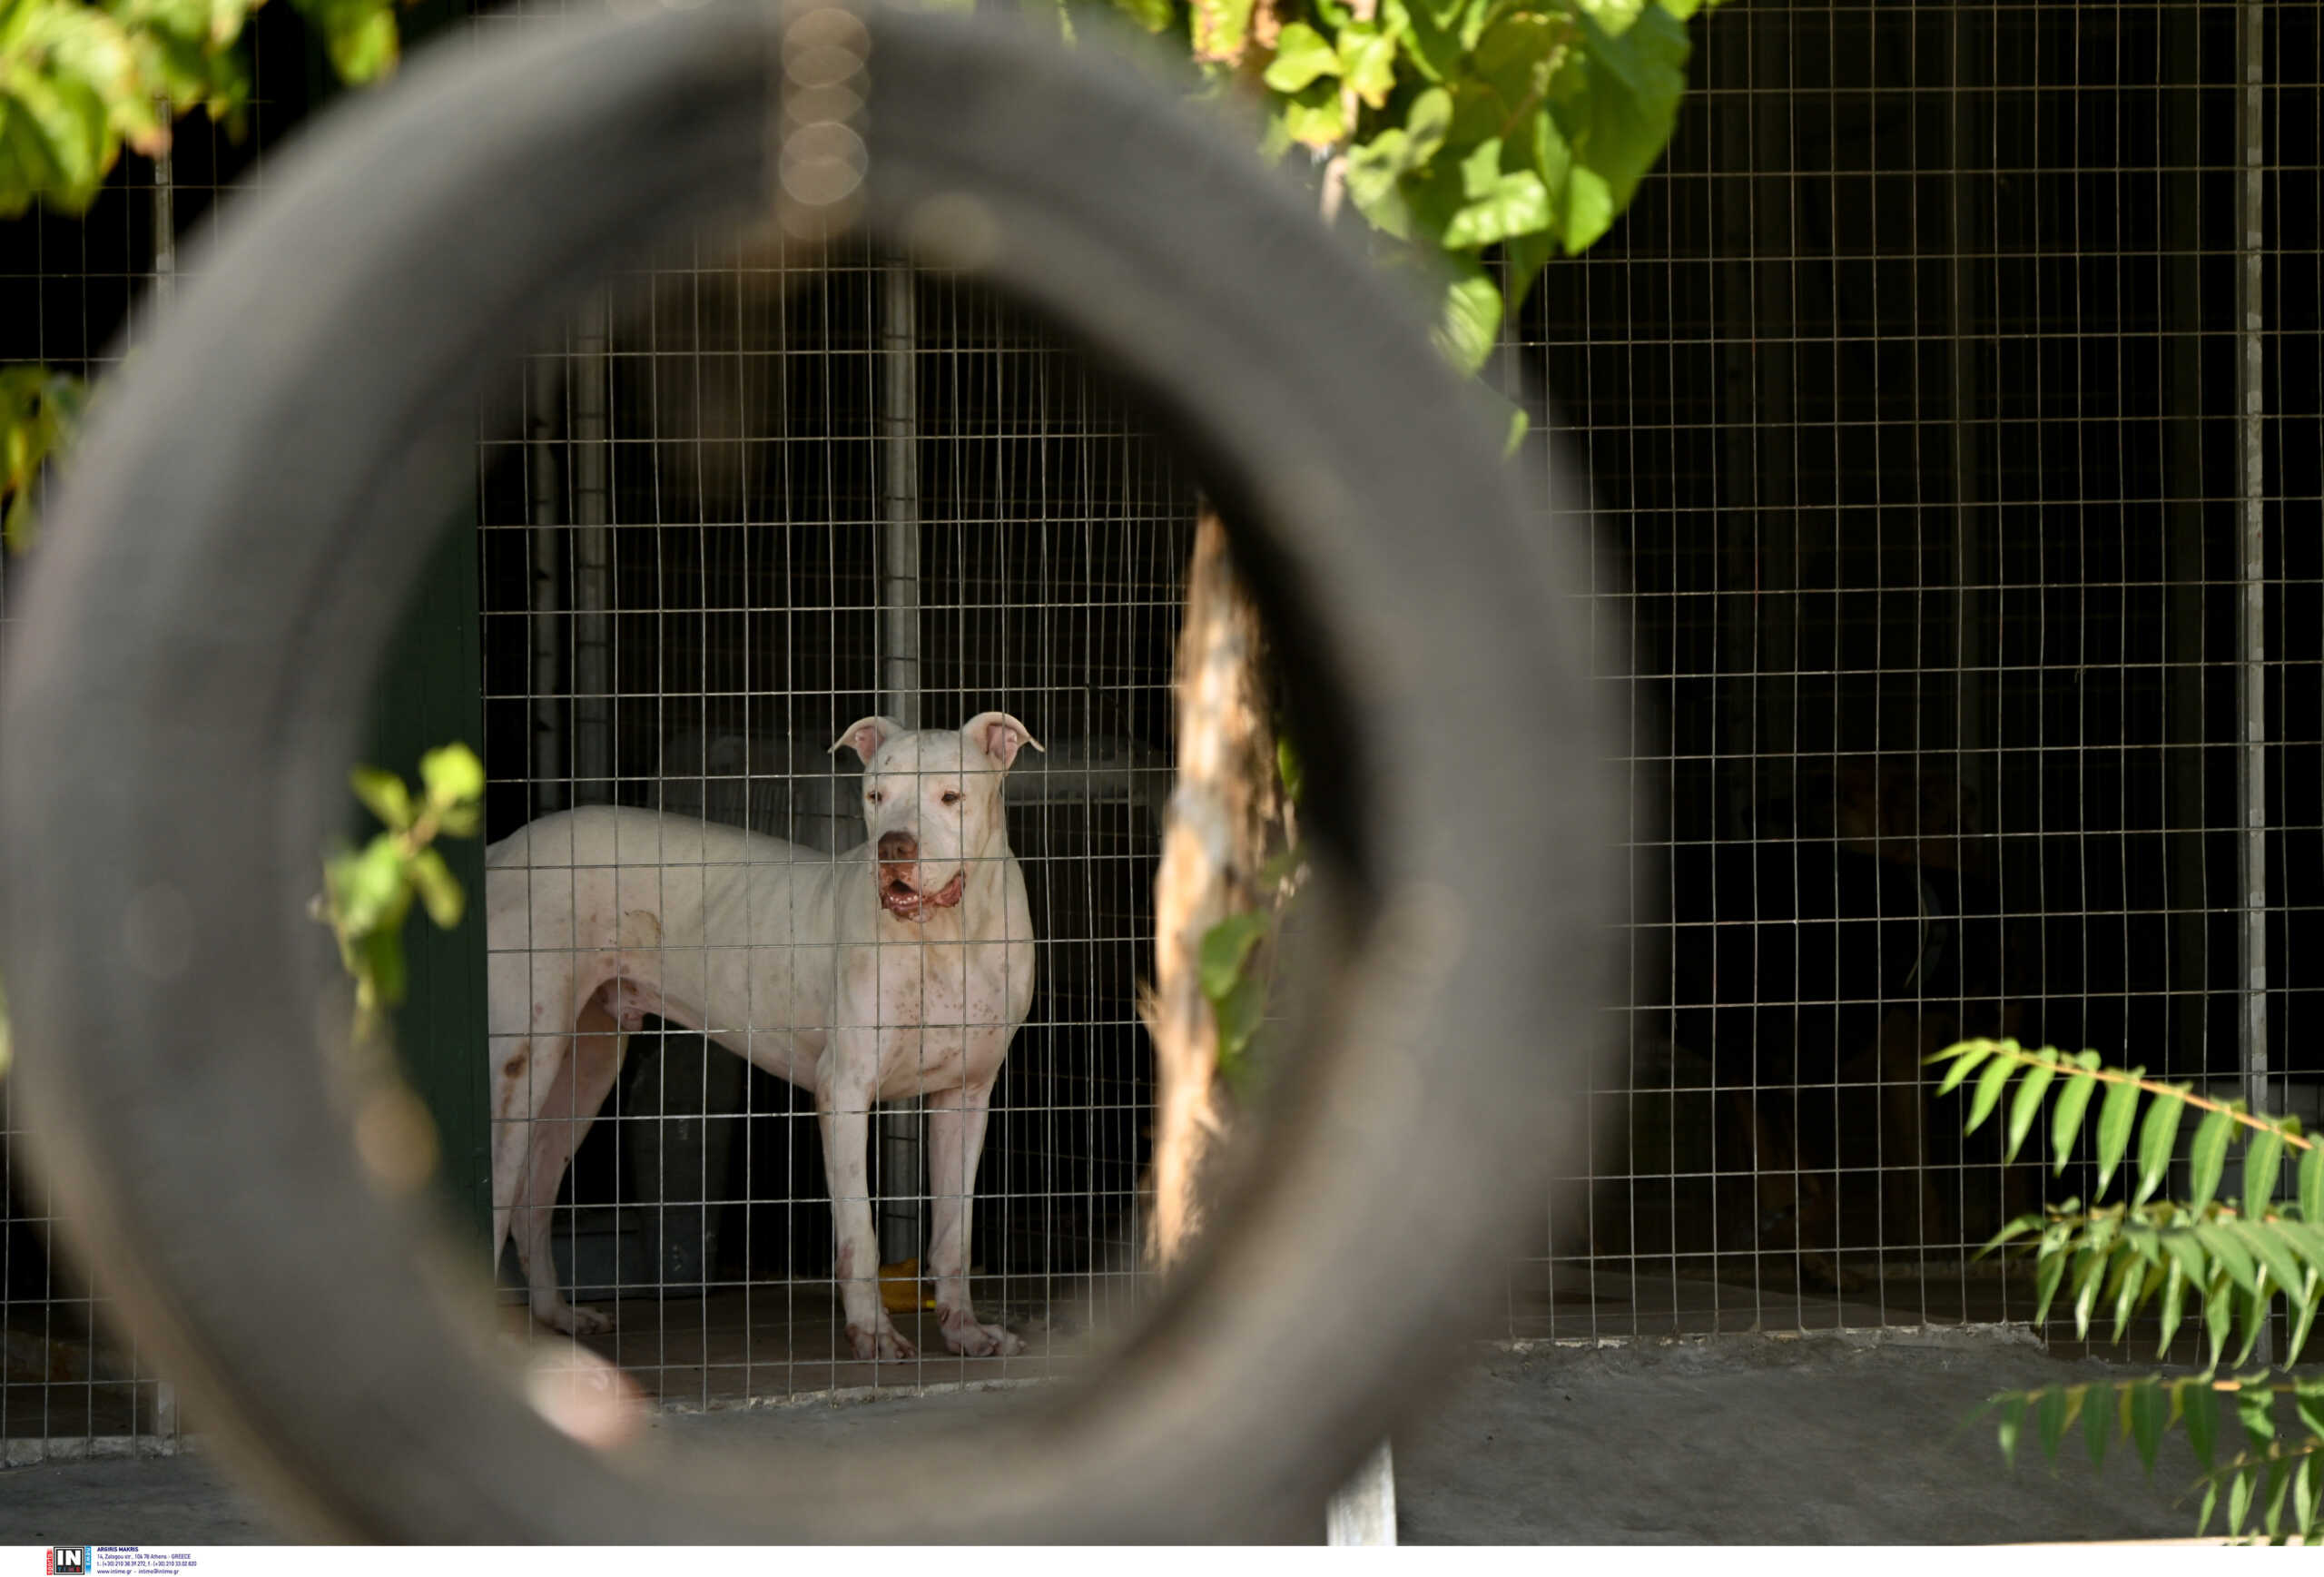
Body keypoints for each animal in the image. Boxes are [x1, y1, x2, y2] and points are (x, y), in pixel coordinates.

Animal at [486, 710, 1040, 1355]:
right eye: (875, 797)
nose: (893, 848)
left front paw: (964, 1332)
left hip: (585, 1068)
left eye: (951, 797)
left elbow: (955, 1233)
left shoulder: (966, 1097)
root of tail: (505, 847)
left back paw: (559, 1315)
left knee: (533, 1198)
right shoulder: (844, 1091)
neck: (949, 937)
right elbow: (859, 1231)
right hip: (519, 1065)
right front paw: (874, 1334)